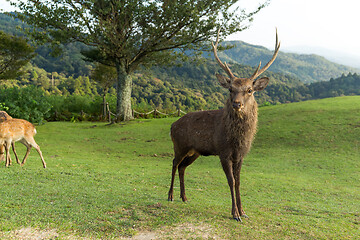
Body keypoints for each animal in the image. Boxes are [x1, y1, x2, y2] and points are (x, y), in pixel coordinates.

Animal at [167, 28, 280, 221]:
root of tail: (172, 125)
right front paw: (235, 213)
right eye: (230, 89)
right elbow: (231, 180)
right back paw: (170, 196)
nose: (236, 104)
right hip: (180, 145)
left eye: (249, 90)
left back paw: (184, 197)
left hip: (194, 152)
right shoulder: (223, 152)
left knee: (182, 167)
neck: (237, 140)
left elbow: (239, 181)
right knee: (174, 163)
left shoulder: (241, 155)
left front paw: (243, 211)